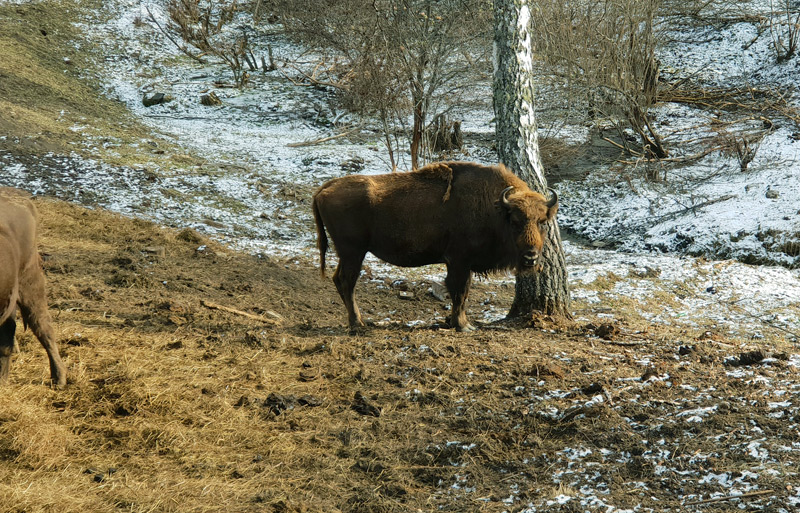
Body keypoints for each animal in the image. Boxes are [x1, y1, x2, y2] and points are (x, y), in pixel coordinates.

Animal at [310, 161, 560, 332]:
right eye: (515, 222)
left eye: (542, 222)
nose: (530, 257)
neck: (496, 207)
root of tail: (325, 188)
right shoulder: (459, 261)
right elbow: (460, 291)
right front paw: (462, 325)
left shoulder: (461, 263)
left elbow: (462, 292)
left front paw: (458, 323)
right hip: (353, 252)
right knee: (347, 281)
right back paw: (358, 324)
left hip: (350, 253)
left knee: (340, 280)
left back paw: (360, 321)